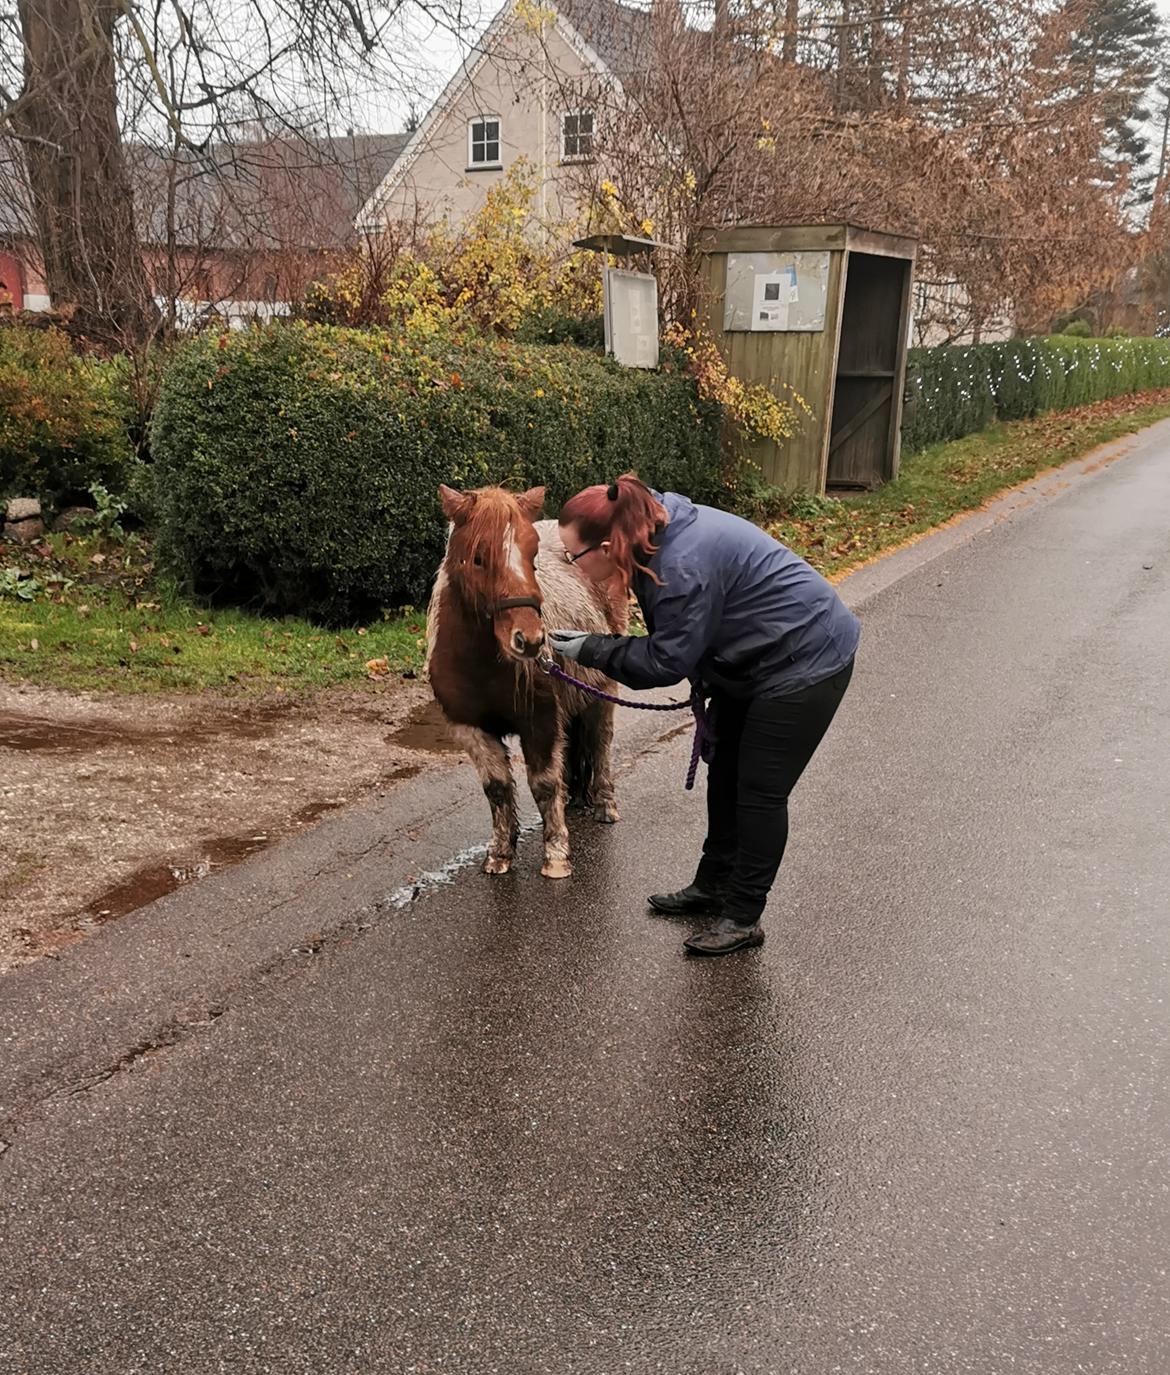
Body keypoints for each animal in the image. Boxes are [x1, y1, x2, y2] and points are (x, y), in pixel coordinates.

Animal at [428, 484, 632, 874]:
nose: (532, 639)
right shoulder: (472, 728)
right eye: (478, 558)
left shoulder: (540, 721)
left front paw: (556, 856)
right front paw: (500, 854)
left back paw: (604, 805)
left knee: (600, 744)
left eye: (533, 555)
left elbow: (543, 785)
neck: (482, 663)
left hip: (602, 692)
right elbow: (497, 788)